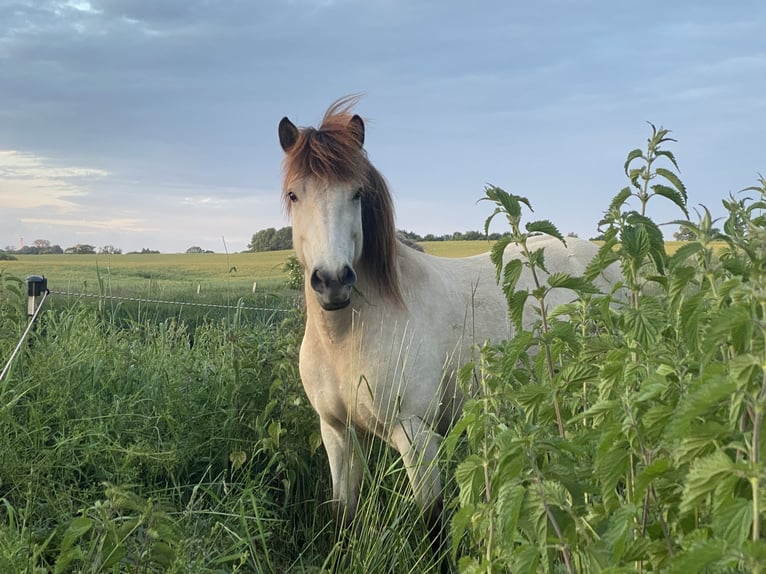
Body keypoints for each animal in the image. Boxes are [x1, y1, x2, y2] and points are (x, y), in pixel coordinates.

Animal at [276, 97, 616, 564]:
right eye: (295, 194)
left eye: (356, 194)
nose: (332, 281)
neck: (346, 337)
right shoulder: (337, 433)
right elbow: (344, 515)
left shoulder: (416, 436)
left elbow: (433, 522)